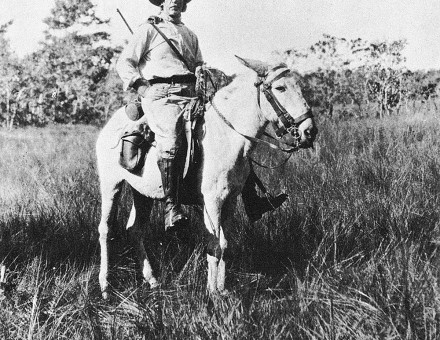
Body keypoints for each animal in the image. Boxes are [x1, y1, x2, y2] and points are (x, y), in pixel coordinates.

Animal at [95, 56, 316, 298]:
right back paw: (105, 286)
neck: (227, 135)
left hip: (143, 193)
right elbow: (214, 245)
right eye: (280, 88)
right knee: (105, 230)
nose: (310, 131)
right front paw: (212, 293)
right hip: (111, 185)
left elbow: (225, 244)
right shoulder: (212, 202)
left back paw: (152, 281)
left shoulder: (230, 200)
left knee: (135, 230)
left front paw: (222, 289)